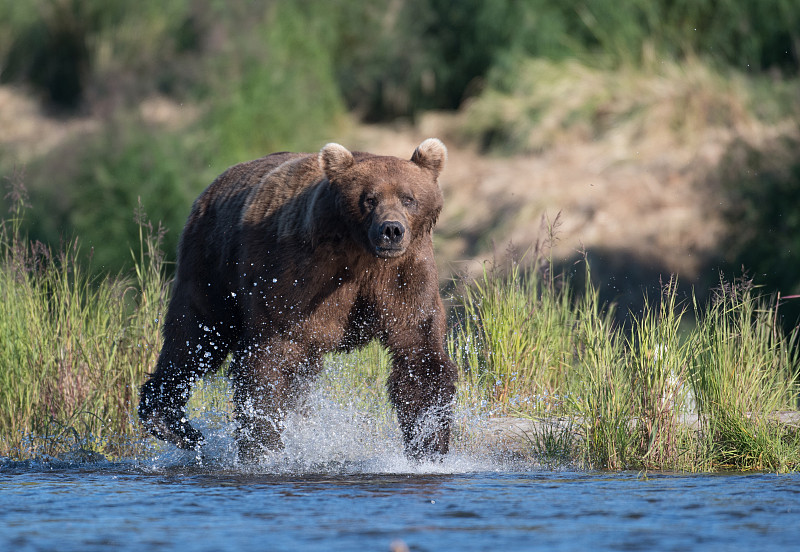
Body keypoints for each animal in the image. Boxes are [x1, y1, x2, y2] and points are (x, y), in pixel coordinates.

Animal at [139, 138, 456, 462]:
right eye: (370, 199)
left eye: (408, 198)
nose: (391, 230)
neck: (360, 253)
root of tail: (213, 186)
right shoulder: (298, 277)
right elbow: (272, 357)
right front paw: (263, 448)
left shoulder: (403, 275)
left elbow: (418, 353)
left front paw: (429, 447)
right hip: (212, 261)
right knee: (197, 336)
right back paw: (172, 423)